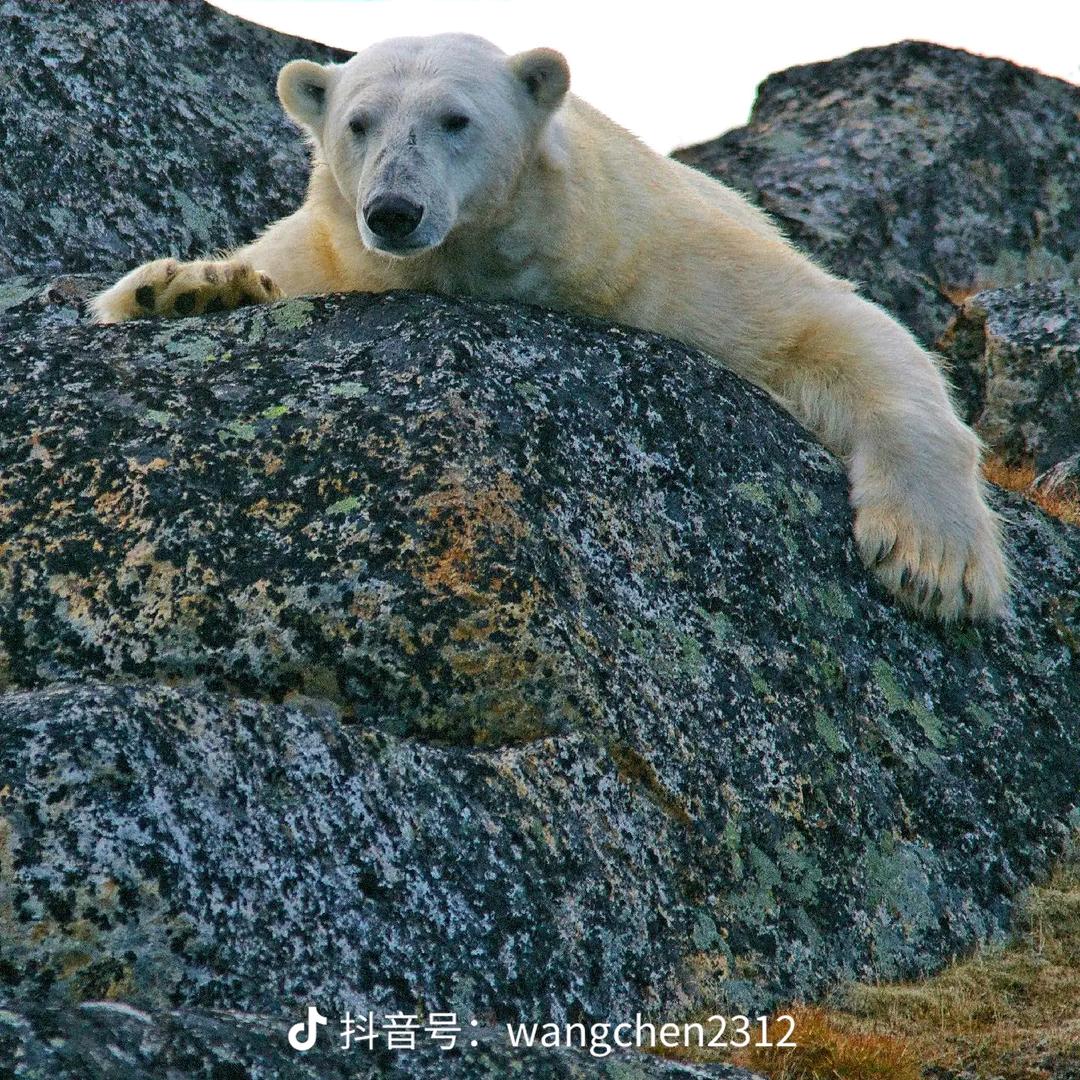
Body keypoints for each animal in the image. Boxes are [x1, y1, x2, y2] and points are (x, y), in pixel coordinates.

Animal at [92, 32, 1007, 623]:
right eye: (358, 122)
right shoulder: (333, 250)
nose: (393, 210)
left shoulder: (657, 254)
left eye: (456, 119)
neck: (491, 261)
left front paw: (935, 563)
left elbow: (831, 325)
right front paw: (187, 289)